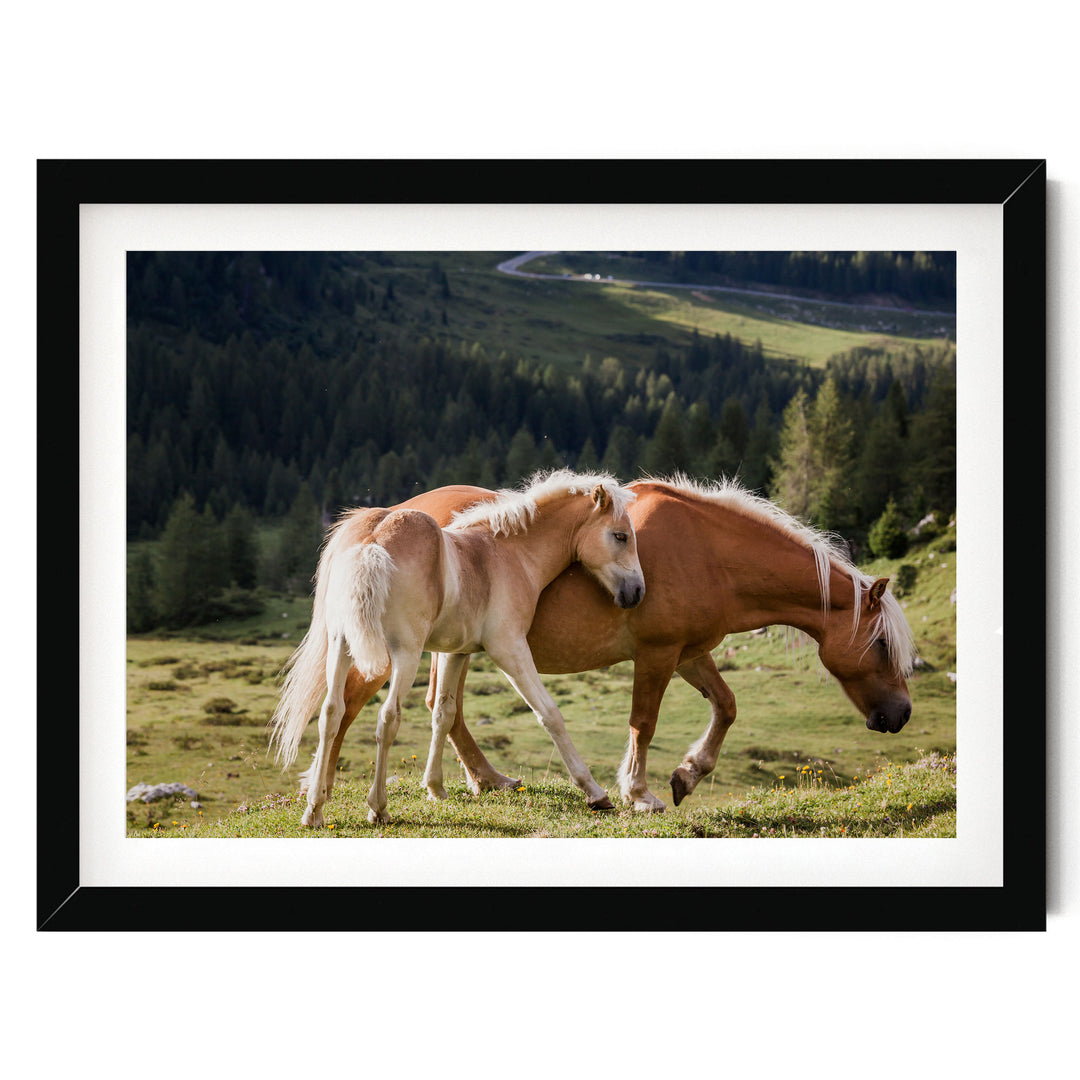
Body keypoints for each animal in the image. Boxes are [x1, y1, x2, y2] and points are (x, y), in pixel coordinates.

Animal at [269, 470, 645, 826]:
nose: (637, 592)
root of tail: (371, 540)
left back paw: (314, 809)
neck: (507, 553)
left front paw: (435, 787)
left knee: (331, 713)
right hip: (404, 654)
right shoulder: (509, 649)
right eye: (621, 536)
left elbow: (443, 713)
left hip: (341, 646)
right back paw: (378, 808)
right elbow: (549, 714)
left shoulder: (455, 652)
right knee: (387, 718)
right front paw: (595, 792)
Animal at [290, 474, 917, 813]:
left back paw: (484, 781)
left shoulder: (690, 652)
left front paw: (688, 774)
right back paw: (326, 792)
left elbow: (727, 705)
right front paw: (639, 791)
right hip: (390, 650)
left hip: (451, 647)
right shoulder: (658, 655)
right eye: (881, 646)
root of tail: (384, 519)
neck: (709, 552)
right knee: (351, 705)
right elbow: (643, 722)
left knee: (440, 709)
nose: (901, 715)